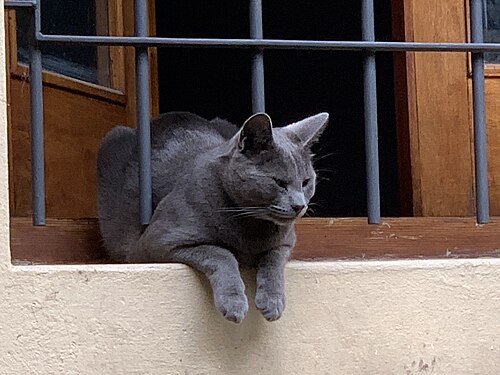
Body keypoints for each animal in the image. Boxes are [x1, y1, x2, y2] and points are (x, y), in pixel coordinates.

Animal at [98, 111, 328, 324]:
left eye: (306, 182)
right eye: (279, 182)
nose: (299, 205)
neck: (251, 225)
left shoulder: (286, 242)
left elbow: (273, 259)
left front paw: (272, 302)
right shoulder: (157, 241)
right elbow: (221, 253)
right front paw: (234, 303)